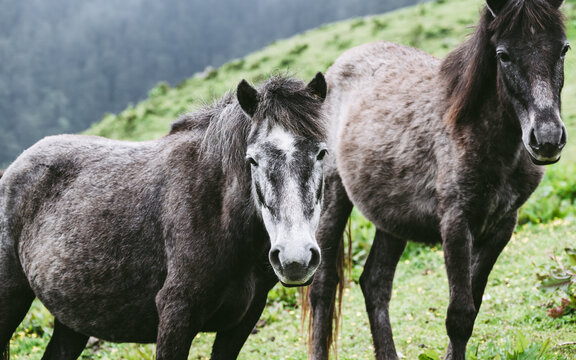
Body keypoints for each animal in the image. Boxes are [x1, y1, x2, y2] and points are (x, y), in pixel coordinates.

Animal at [0, 71, 328, 358]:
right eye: (253, 160)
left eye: (321, 153)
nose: (295, 258)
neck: (220, 216)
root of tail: (15, 167)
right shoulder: (176, 316)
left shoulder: (242, 322)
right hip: (12, 300)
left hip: (73, 322)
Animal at [310, 0, 568, 358]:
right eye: (503, 55)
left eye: (563, 49)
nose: (546, 139)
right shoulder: (456, 225)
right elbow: (459, 315)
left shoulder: (501, 227)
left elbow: (472, 307)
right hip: (334, 196)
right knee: (323, 287)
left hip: (392, 218)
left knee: (375, 283)